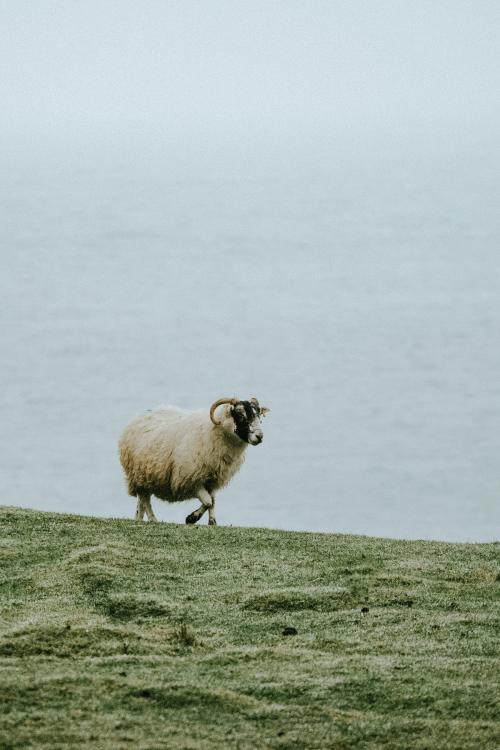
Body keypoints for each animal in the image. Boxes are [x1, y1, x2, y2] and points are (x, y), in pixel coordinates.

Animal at [118, 396, 268, 524]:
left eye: (259, 416)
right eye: (241, 416)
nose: (260, 437)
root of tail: (140, 416)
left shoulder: (212, 480)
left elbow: (212, 502)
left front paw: (212, 522)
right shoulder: (190, 480)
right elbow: (208, 502)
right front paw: (191, 518)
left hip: (145, 476)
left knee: (142, 500)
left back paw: (139, 518)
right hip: (140, 475)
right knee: (145, 499)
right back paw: (153, 519)